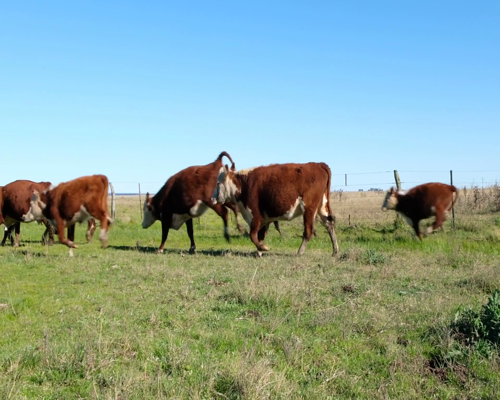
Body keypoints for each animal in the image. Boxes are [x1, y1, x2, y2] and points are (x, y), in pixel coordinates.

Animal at [211, 162, 340, 256]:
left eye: (217, 183)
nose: (212, 198)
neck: (244, 184)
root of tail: (318, 164)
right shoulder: (264, 219)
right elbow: (260, 235)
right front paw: (259, 251)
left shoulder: (255, 216)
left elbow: (252, 235)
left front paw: (263, 248)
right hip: (322, 206)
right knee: (329, 224)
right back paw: (335, 251)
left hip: (309, 208)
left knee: (308, 231)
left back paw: (300, 252)